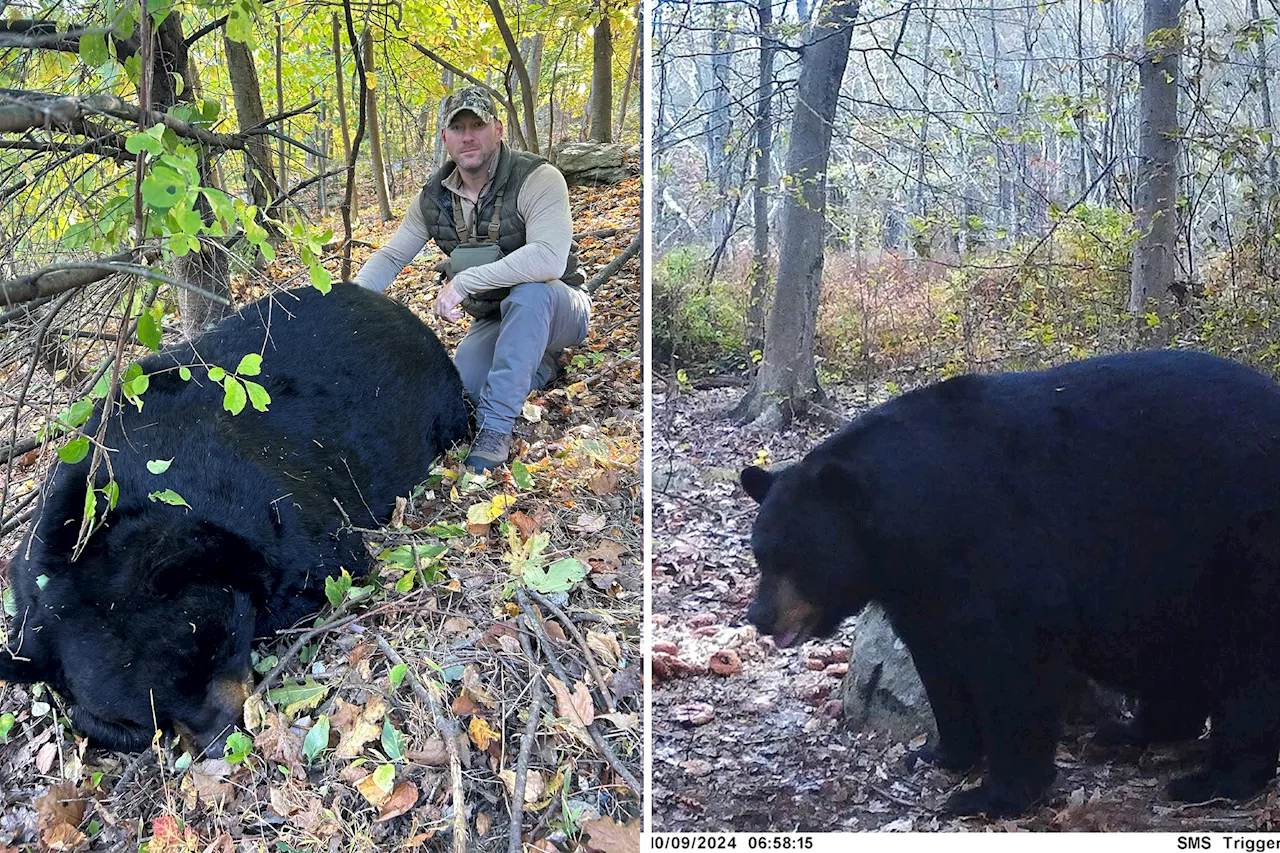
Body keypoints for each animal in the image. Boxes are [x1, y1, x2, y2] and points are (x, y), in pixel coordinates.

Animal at [742, 348, 1280, 814]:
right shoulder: (923, 588)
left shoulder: (1000, 548)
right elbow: (939, 663)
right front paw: (942, 753)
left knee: (1248, 667)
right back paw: (1134, 732)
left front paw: (993, 794)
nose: (759, 616)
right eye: (760, 553)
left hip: (1239, 544)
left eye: (797, 557)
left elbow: (1014, 664)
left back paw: (1216, 779)